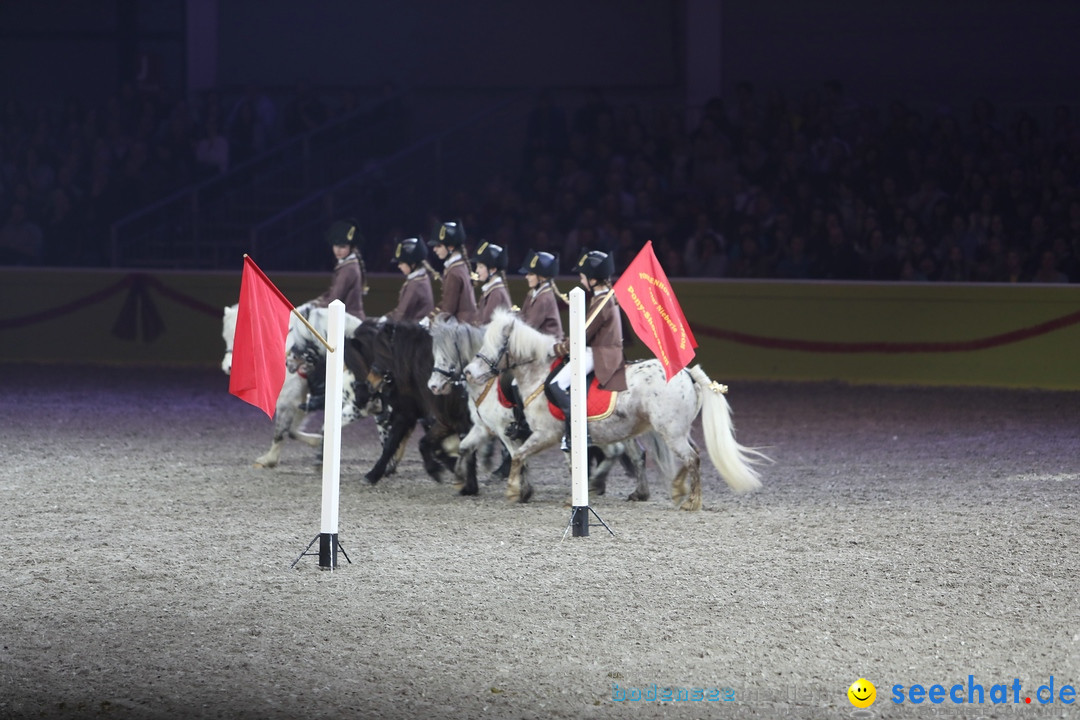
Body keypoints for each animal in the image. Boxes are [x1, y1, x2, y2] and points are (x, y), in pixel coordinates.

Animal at [425, 317, 648, 505]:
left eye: (446, 356)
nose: (433, 386)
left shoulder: (504, 429)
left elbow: (517, 455)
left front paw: (521, 490)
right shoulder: (484, 428)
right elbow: (464, 447)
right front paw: (460, 480)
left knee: (616, 451)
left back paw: (595, 484)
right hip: (619, 427)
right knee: (633, 454)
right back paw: (625, 490)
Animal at [460, 306, 764, 509]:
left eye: (498, 344)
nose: (468, 373)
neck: (538, 374)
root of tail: (686, 372)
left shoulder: (545, 434)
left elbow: (519, 456)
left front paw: (514, 491)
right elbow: (567, 464)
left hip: (670, 430)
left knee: (691, 458)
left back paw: (691, 502)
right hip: (674, 430)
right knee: (692, 454)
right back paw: (674, 490)